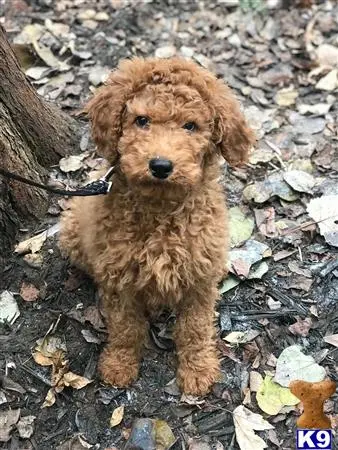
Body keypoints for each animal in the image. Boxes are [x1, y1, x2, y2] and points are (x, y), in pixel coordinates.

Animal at [58, 58, 254, 396]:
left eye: (191, 126)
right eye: (141, 120)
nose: (161, 165)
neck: (160, 208)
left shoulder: (200, 279)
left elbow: (195, 327)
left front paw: (198, 369)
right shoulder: (119, 278)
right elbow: (125, 327)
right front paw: (120, 364)